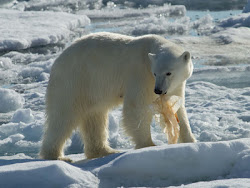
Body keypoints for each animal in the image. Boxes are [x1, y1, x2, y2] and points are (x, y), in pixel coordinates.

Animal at [39, 32, 195, 162]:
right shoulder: (140, 75)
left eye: (169, 73)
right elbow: (136, 107)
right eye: (155, 73)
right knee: (63, 116)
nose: (158, 90)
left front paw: (190, 140)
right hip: (74, 80)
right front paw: (149, 145)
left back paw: (105, 150)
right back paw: (57, 156)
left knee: (95, 118)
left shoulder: (176, 85)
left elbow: (178, 110)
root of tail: (57, 61)